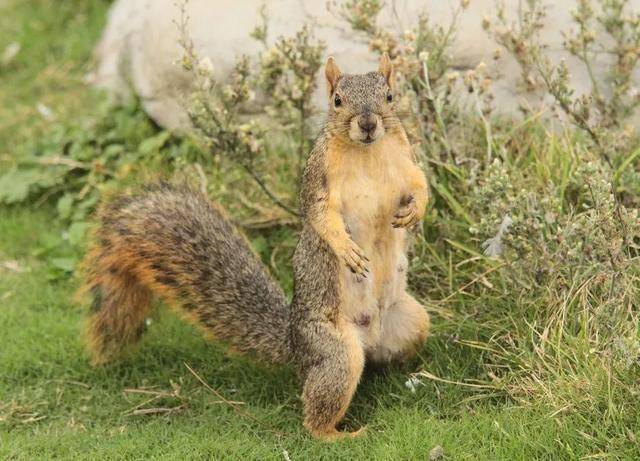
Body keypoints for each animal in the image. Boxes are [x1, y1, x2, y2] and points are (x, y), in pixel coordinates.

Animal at [81, 54, 430, 438]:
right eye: (337, 100)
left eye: (389, 96)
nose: (367, 124)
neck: (366, 152)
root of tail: (294, 342)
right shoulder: (317, 180)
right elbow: (321, 217)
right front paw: (346, 249)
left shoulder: (406, 159)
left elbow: (420, 183)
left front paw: (416, 210)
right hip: (335, 352)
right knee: (318, 407)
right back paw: (337, 434)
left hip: (413, 321)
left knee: (382, 357)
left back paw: (403, 373)